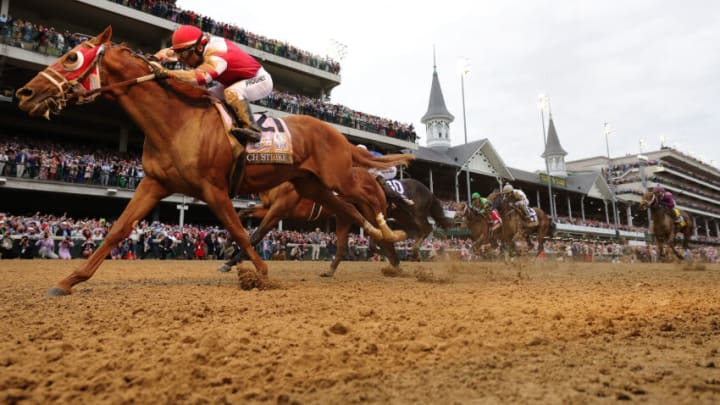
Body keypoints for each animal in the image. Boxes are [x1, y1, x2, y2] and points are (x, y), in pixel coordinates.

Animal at [15, 27, 410, 294]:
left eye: (72, 57)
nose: (24, 92)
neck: (176, 120)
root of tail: (338, 134)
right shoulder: (155, 183)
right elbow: (118, 230)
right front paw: (70, 280)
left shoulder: (215, 189)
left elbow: (241, 230)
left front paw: (260, 274)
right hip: (312, 184)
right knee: (349, 211)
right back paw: (382, 241)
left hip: (338, 175)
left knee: (367, 193)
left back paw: (392, 234)